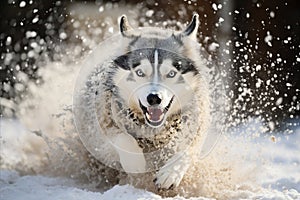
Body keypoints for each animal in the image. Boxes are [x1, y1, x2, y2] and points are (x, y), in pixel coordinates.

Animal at [74, 13, 211, 190]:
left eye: (171, 74)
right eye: (139, 72)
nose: (154, 98)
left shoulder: (196, 127)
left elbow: (188, 150)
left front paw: (170, 173)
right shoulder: (102, 127)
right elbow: (123, 138)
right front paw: (136, 163)